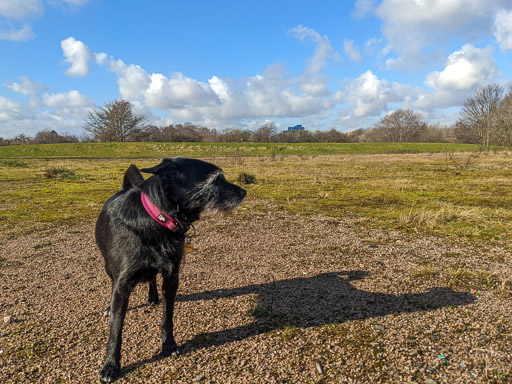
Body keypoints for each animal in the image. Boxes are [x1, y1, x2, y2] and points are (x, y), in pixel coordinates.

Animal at [96, 156, 248, 380]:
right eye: (216, 180)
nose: (244, 192)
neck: (156, 219)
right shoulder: (122, 284)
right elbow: (116, 329)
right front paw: (111, 366)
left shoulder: (171, 277)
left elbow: (167, 318)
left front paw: (168, 345)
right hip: (108, 267)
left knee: (151, 278)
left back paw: (152, 297)